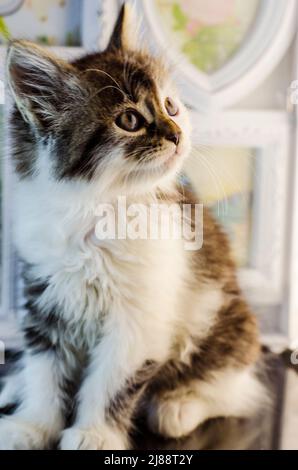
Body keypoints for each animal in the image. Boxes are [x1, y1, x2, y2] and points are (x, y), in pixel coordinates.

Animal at [0, 3, 266, 450]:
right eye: (129, 119)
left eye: (171, 106)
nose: (177, 133)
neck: (97, 210)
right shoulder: (45, 297)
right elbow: (44, 371)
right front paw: (31, 425)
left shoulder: (139, 318)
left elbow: (109, 384)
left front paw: (93, 434)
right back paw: (14, 386)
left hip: (228, 322)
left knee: (235, 389)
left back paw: (177, 406)